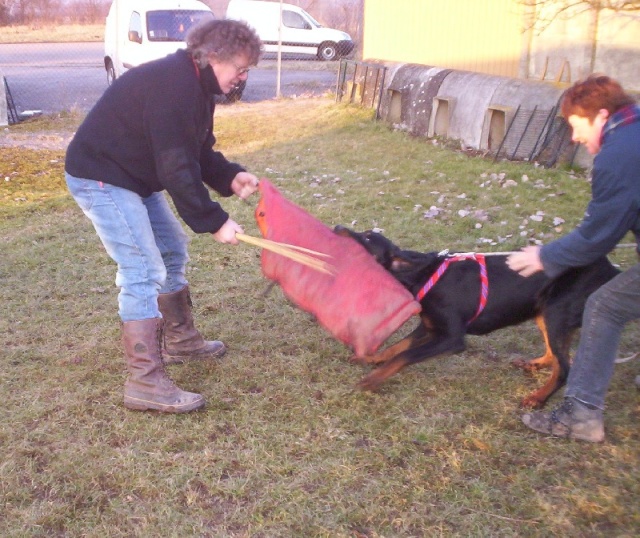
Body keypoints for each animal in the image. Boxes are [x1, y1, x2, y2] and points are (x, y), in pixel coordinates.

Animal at [336, 226, 620, 406]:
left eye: (367, 239)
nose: (338, 226)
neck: (422, 274)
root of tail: (610, 269)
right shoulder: (429, 327)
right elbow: (398, 346)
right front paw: (370, 358)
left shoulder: (451, 338)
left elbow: (404, 355)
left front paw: (370, 380)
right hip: (543, 312)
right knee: (554, 354)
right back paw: (533, 365)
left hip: (557, 313)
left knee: (565, 366)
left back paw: (538, 398)